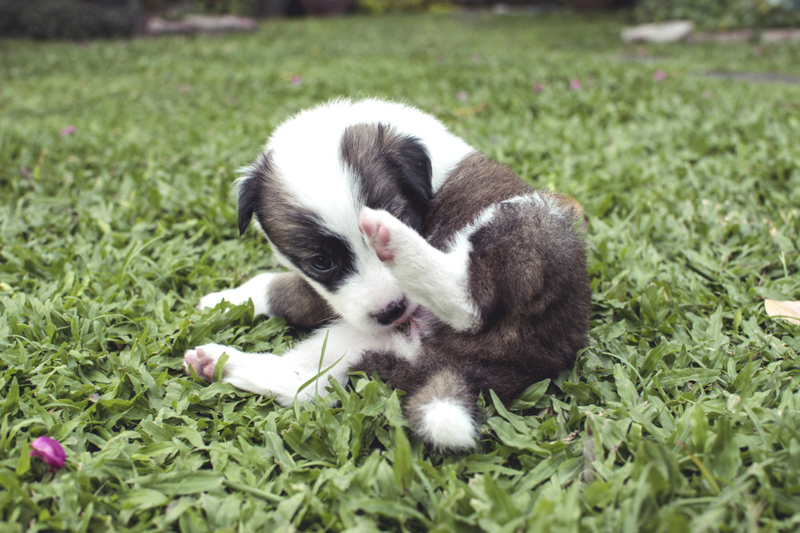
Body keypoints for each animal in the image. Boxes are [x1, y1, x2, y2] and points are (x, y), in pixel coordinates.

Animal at [184, 97, 592, 450]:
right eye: (321, 261)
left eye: (405, 213)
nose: (392, 312)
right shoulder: (338, 297)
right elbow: (283, 288)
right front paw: (225, 300)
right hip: (365, 346)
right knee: (304, 386)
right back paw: (217, 362)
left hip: (528, 227)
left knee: (472, 303)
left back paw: (392, 237)